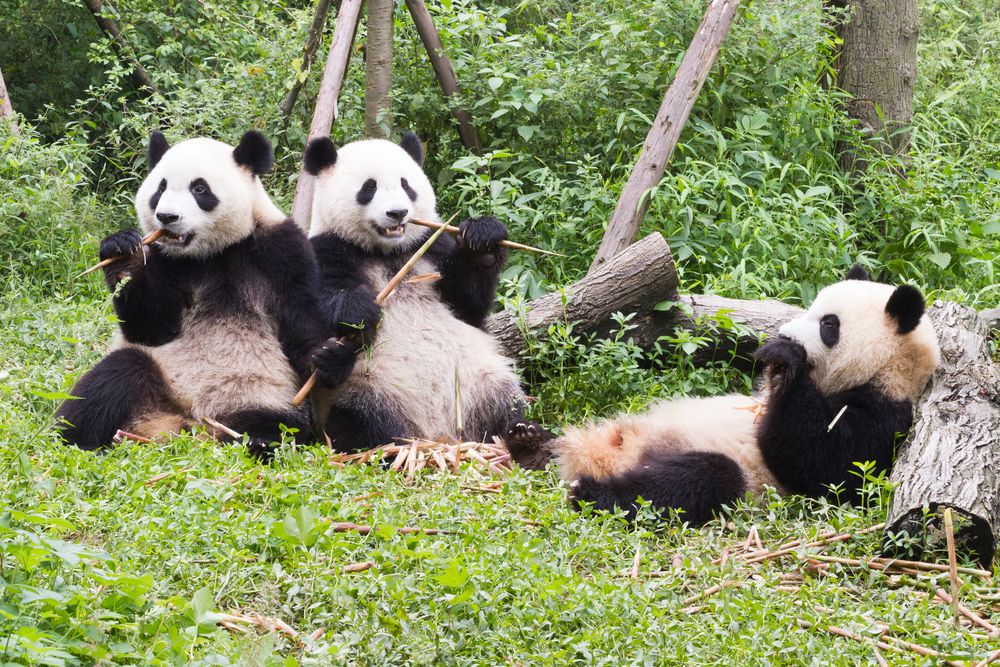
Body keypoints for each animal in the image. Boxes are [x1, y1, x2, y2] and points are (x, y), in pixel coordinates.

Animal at [56, 130, 347, 455]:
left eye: (199, 188)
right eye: (160, 188)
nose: (167, 216)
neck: (211, 253)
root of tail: (186, 422)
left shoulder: (281, 252)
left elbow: (301, 324)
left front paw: (331, 357)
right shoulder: (164, 260)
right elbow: (151, 328)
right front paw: (122, 252)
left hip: (261, 396)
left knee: (275, 427)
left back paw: (257, 439)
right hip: (159, 373)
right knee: (114, 377)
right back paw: (72, 439)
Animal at [302, 132, 527, 451]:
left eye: (406, 185)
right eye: (368, 187)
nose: (397, 213)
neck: (388, 253)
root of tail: (438, 436)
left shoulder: (431, 247)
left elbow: (468, 304)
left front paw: (483, 241)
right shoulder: (327, 248)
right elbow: (313, 307)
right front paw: (358, 313)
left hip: (479, 381)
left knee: (506, 404)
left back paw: (525, 437)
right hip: (371, 389)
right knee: (363, 424)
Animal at [507, 266, 941, 524]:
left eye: (829, 325)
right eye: (811, 308)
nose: (783, 334)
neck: (887, 370)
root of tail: (601, 457)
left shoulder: (884, 416)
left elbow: (824, 464)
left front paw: (785, 359)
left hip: (724, 472)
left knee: (695, 479)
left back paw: (591, 492)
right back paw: (531, 442)